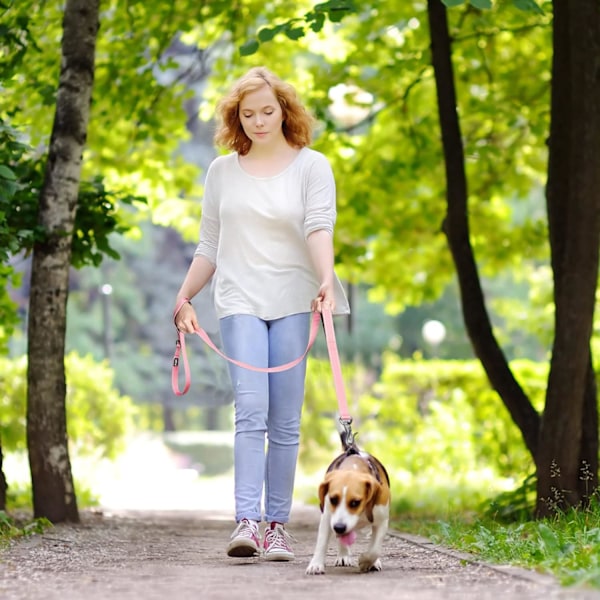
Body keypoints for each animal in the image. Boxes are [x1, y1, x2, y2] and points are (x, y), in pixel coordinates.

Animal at [308, 432, 392, 576]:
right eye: (333, 499)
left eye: (355, 502)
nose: (339, 527)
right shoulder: (328, 518)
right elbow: (322, 542)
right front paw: (316, 564)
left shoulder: (382, 521)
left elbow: (374, 549)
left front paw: (366, 561)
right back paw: (343, 555)